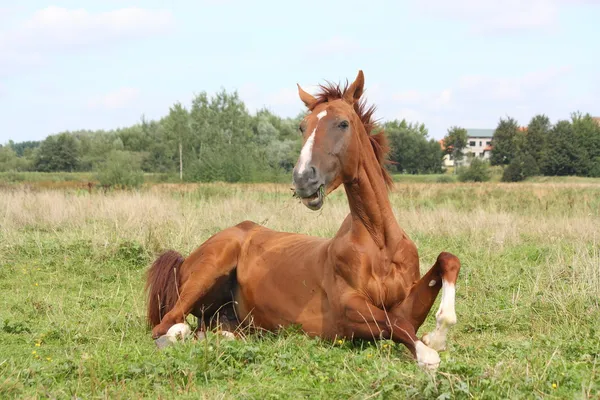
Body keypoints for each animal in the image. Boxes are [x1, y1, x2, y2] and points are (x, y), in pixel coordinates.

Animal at [144, 69, 460, 368]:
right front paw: (428, 352)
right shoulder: (348, 311)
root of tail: (185, 260)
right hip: (209, 270)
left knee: (212, 330)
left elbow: (445, 261)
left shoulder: (405, 304)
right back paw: (180, 333)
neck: (378, 241)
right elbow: (397, 325)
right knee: (166, 328)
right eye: (302, 126)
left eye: (343, 123)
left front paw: (437, 334)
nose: (303, 179)